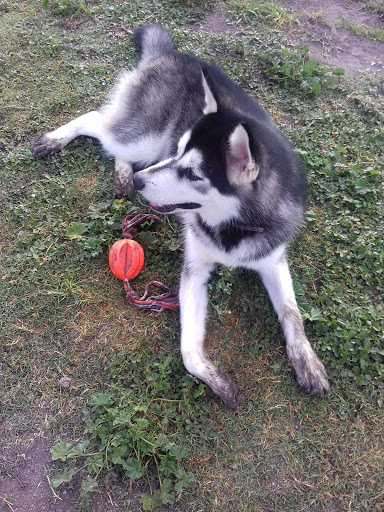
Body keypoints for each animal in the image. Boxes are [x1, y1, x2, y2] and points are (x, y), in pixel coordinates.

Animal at [33, 24, 330, 410]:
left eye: (192, 174)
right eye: (178, 152)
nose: (142, 183)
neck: (232, 227)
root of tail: (171, 55)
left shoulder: (271, 258)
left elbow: (293, 315)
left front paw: (307, 362)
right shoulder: (194, 269)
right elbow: (188, 351)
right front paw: (217, 381)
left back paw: (123, 174)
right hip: (144, 139)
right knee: (96, 120)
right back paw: (65, 145)